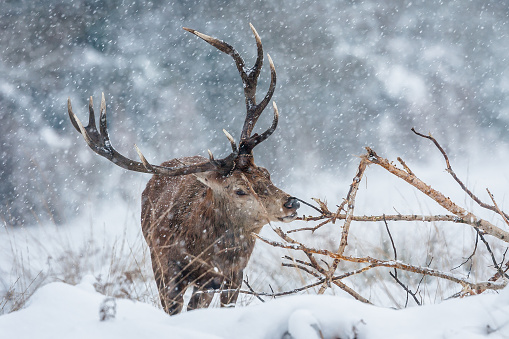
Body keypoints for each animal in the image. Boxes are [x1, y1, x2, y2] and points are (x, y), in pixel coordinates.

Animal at [66, 24, 300, 316]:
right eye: (240, 190)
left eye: (267, 174)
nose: (291, 202)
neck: (203, 249)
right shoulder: (169, 266)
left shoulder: (234, 274)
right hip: (155, 256)